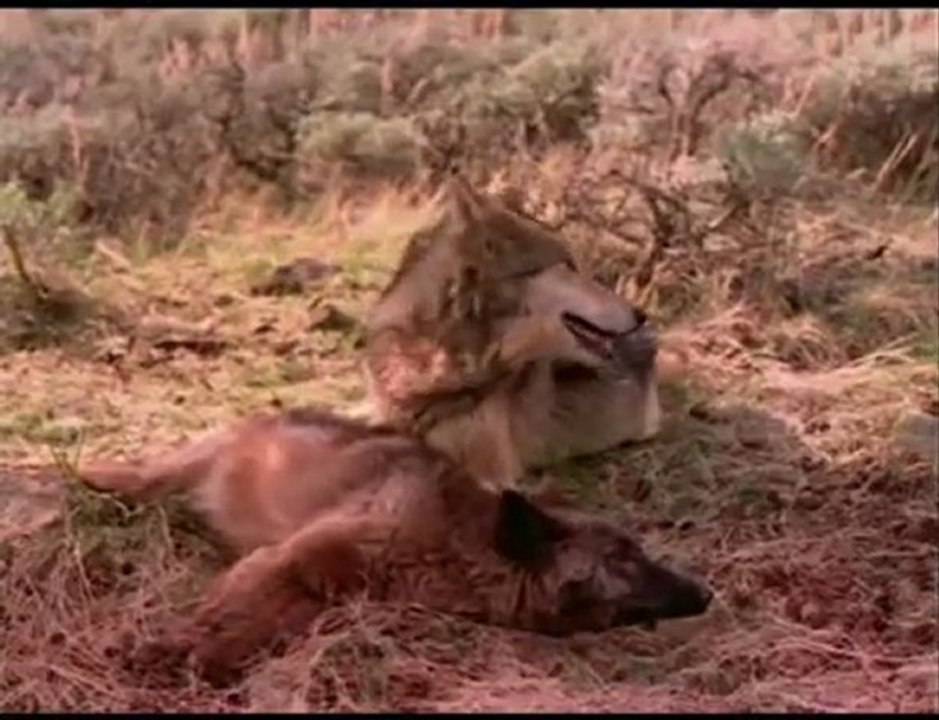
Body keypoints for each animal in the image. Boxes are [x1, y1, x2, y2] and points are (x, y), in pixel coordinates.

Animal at [78, 409, 712, 682]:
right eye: (624, 558)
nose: (707, 594)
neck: (460, 545)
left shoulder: (320, 592)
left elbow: (255, 630)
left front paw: (209, 659)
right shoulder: (288, 559)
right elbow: (227, 612)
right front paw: (170, 647)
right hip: (200, 459)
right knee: (147, 472)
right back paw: (94, 474)